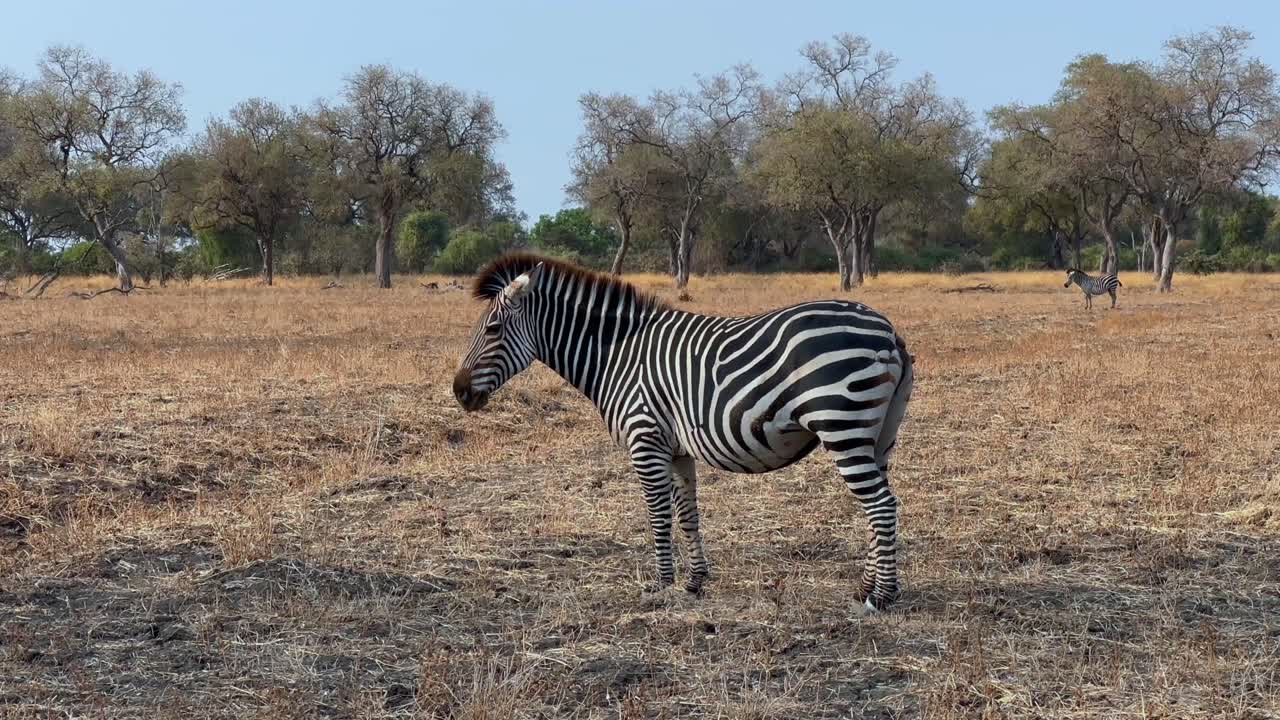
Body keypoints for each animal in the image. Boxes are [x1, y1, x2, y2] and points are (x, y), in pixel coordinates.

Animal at [452, 254, 915, 613]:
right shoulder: (676, 450)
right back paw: (867, 587)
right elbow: (687, 515)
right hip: (878, 435)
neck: (618, 356)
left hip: (842, 425)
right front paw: (694, 582)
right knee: (878, 506)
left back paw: (881, 597)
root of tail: (889, 331)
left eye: (492, 330)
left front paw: (660, 585)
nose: (458, 392)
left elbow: (658, 515)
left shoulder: (645, 440)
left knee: (881, 506)